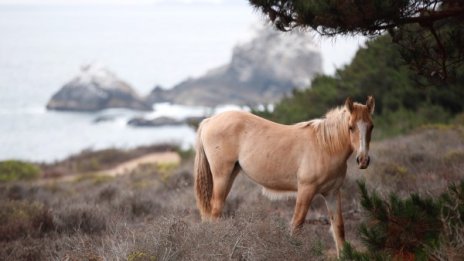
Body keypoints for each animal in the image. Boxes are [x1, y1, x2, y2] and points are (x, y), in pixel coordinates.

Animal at [194, 95, 376, 254]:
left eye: (371, 126)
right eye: (351, 127)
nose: (363, 160)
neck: (325, 146)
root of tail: (209, 120)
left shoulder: (332, 193)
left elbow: (339, 229)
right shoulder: (306, 190)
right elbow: (297, 224)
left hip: (231, 174)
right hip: (221, 176)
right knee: (215, 211)